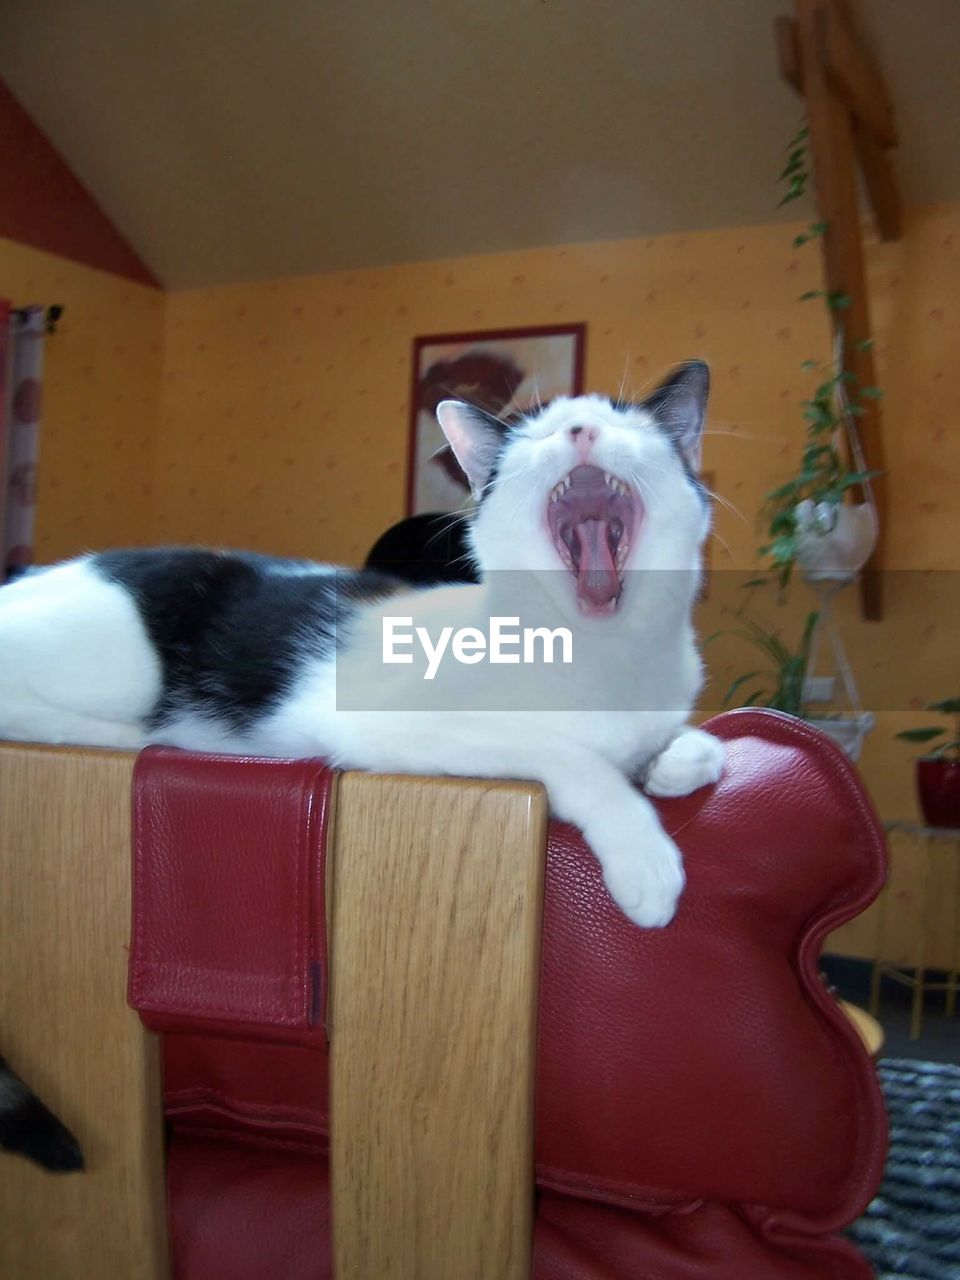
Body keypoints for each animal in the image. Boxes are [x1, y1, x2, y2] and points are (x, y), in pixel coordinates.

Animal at [0, 363, 721, 1172]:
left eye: (629, 424)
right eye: (536, 432)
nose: (580, 430)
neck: (599, 657)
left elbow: (694, 747)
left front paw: (674, 761)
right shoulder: (392, 724)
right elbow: (567, 755)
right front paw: (644, 854)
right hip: (113, 659)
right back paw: (137, 736)